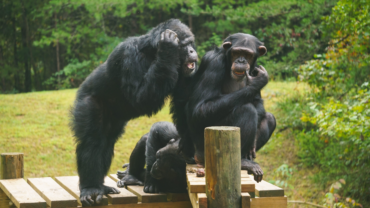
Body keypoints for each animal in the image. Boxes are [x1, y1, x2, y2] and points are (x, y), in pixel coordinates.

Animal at [69, 18, 197, 206]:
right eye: (185, 45)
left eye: (191, 43)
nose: (192, 50)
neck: (152, 54)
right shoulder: (128, 55)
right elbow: (140, 97)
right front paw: (168, 46)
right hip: (88, 102)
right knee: (93, 140)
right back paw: (91, 188)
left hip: (114, 119)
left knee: (107, 142)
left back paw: (103, 186)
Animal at [184, 32, 276, 182]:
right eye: (237, 52)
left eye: (248, 54)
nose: (241, 61)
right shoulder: (214, 64)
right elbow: (200, 109)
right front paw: (257, 82)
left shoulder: (255, 68)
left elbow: (257, 101)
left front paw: (253, 143)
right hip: (205, 147)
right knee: (246, 110)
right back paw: (243, 163)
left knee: (270, 118)